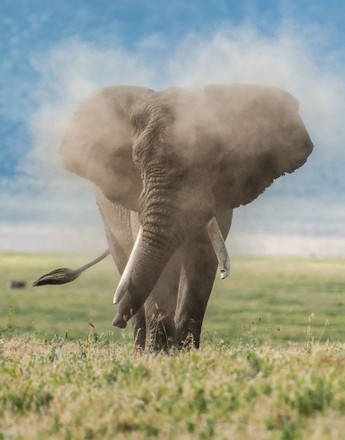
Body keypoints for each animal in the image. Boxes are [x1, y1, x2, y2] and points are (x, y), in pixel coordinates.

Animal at [33, 82, 314, 350]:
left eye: (212, 158)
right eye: (136, 160)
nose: (115, 321)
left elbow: (203, 261)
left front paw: (184, 353)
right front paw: (158, 354)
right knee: (124, 260)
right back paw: (140, 348)